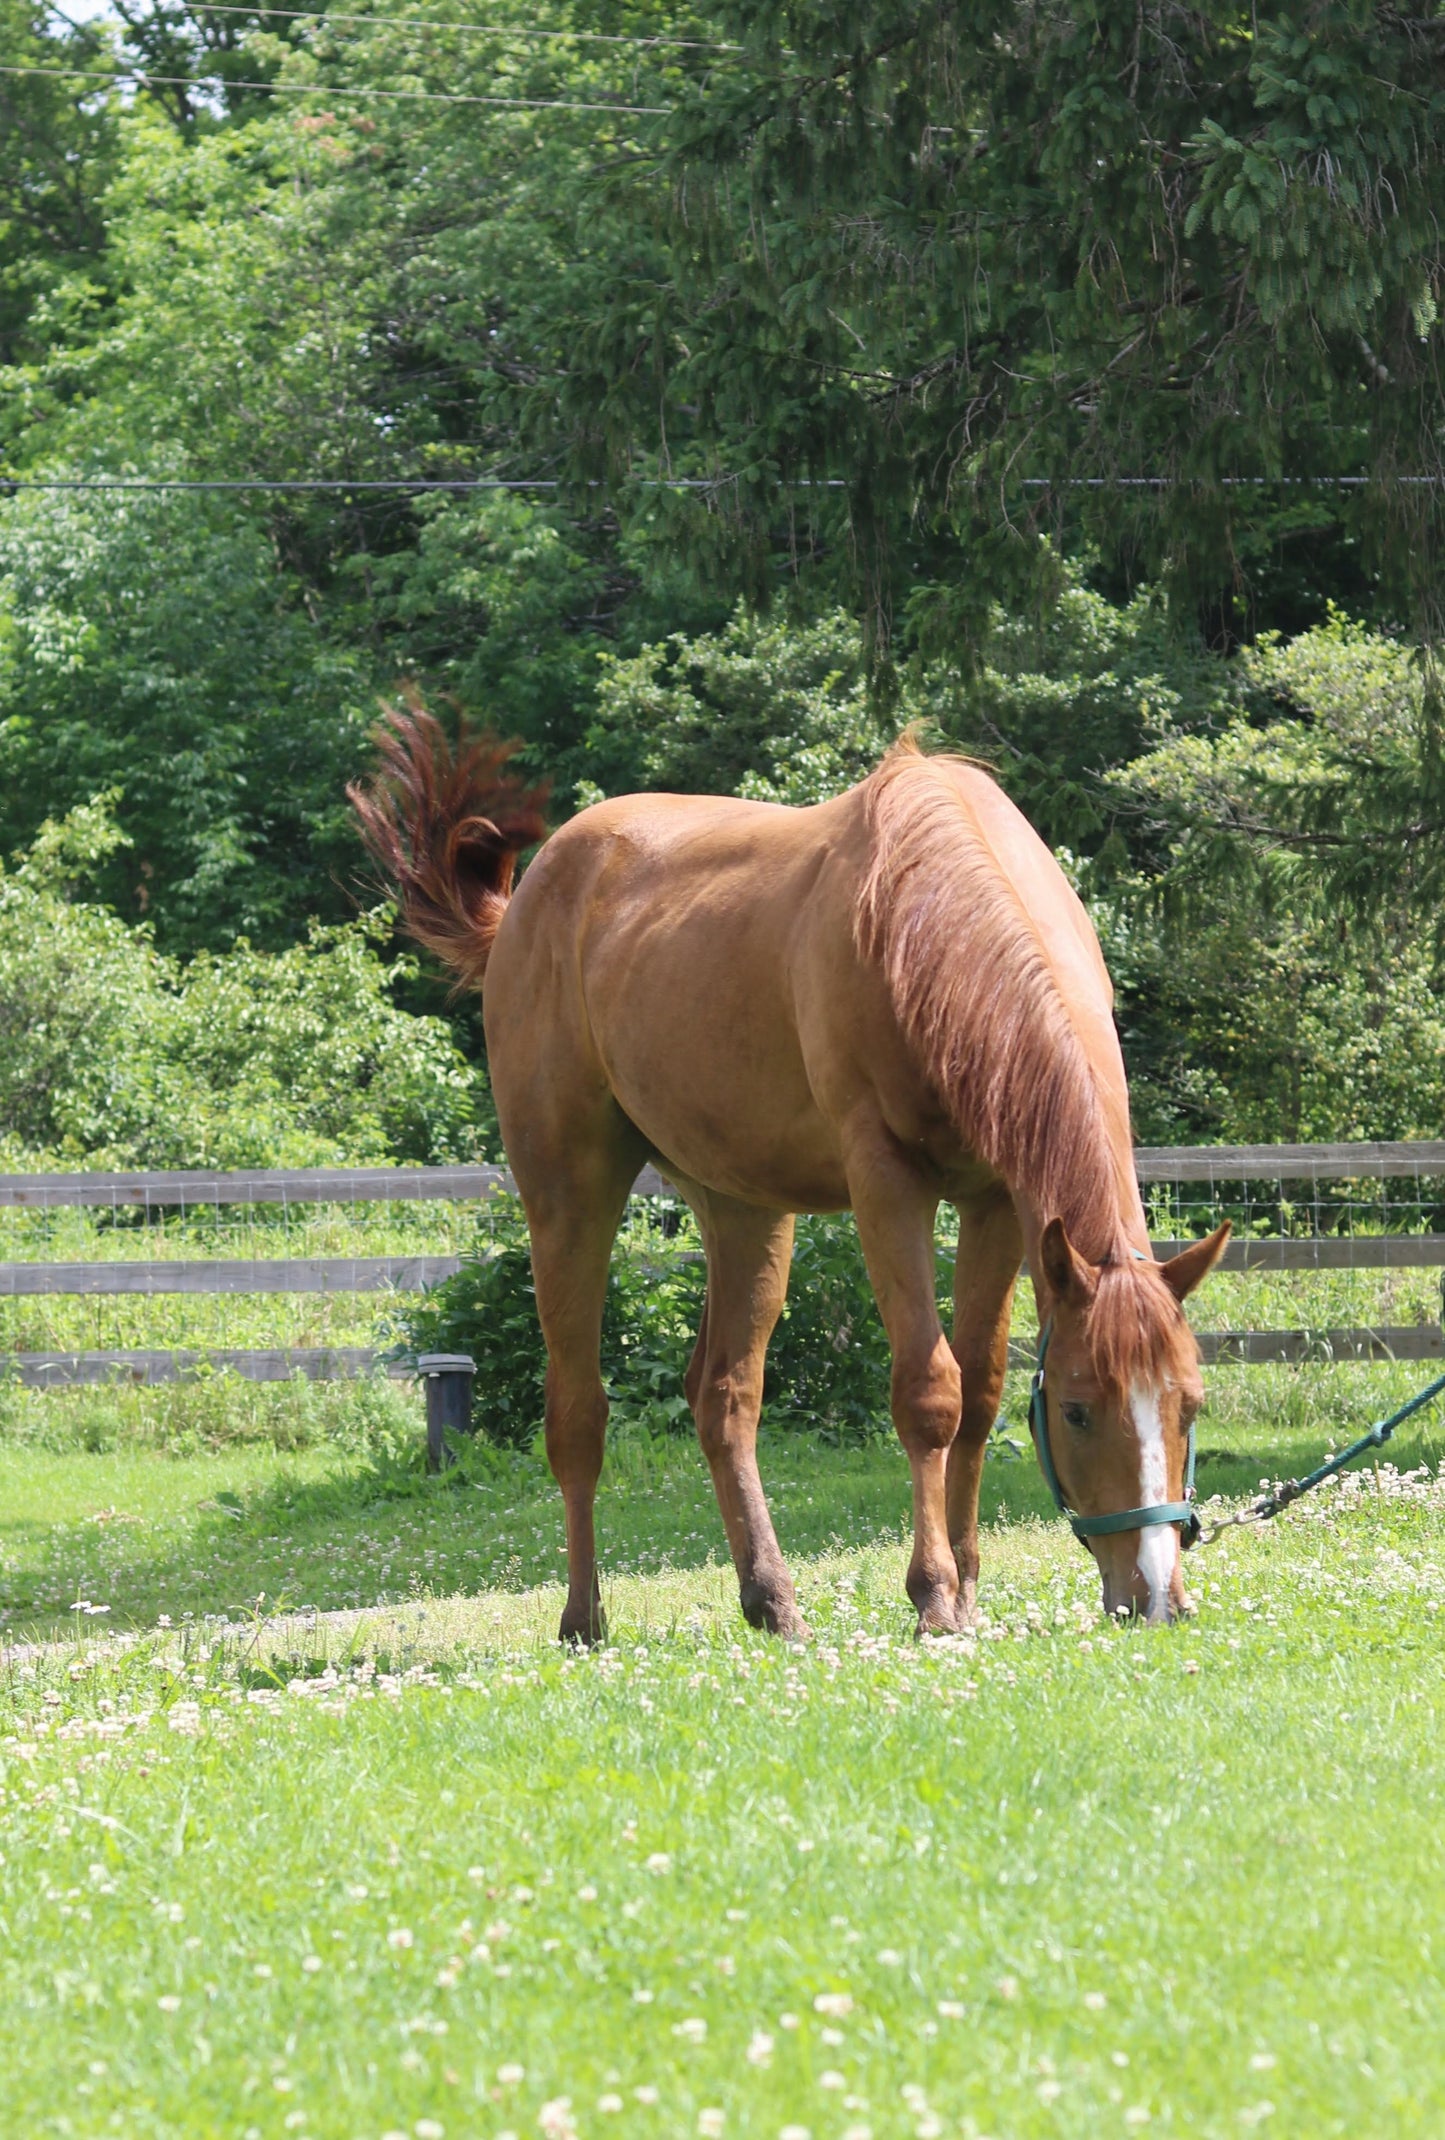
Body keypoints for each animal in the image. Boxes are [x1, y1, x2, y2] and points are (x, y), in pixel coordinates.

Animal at [355, 719, 1224, 1634]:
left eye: (1189, 1404)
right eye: (1077, 1410)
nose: (1156, 1595)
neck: (939, 918)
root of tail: (524, 904)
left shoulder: (995, 1199)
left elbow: (980, 1395)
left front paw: (966, 1587)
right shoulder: (886, 1183)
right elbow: (929, 1393)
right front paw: (933, 1594)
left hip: (741, 1210)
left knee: (724, 1399)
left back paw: (770, 1596)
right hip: (567, 1193)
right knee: (578, 1414)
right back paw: (583, 1617)